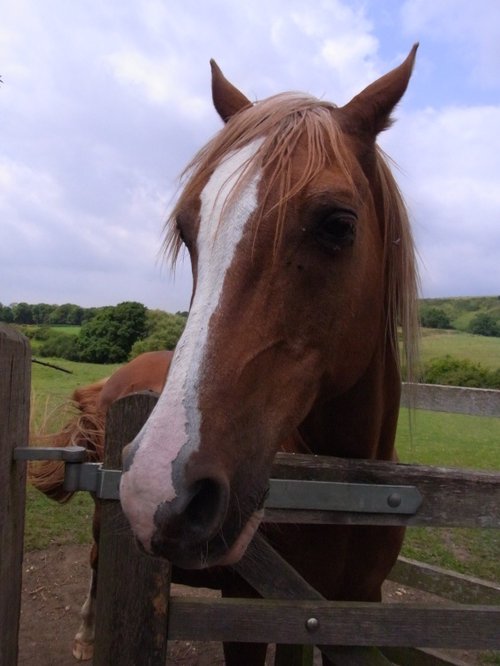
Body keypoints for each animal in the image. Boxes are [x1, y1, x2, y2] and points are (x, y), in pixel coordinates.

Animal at [32, 48, 422, 664]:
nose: (159, 490)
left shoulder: (350, 614)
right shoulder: (247, 613)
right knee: (96, 563)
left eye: (338, 224)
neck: (345, 492)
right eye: (188, 230)